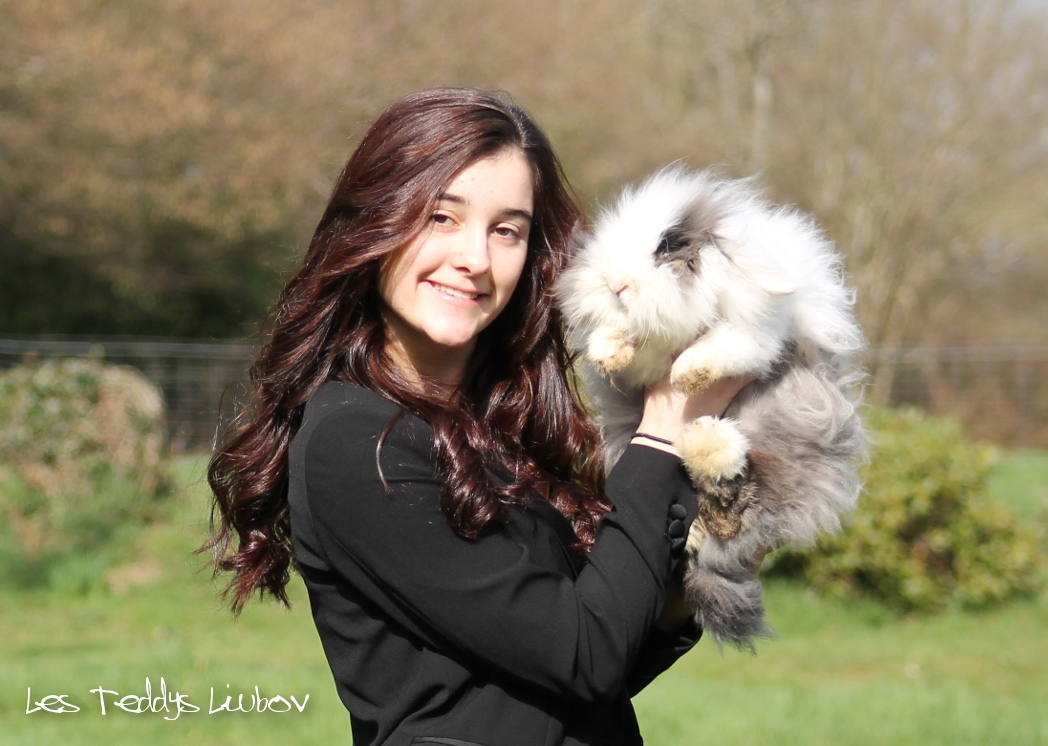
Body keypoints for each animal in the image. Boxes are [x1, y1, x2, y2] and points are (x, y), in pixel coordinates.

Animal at [554, 167, 866, 650]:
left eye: (666, 249)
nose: (617, 286)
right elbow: (617, 338)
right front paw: (610, 354)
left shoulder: (756, 333)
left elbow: (725, 345)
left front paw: (687, 374)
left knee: (735, 504)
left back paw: (709, 451)